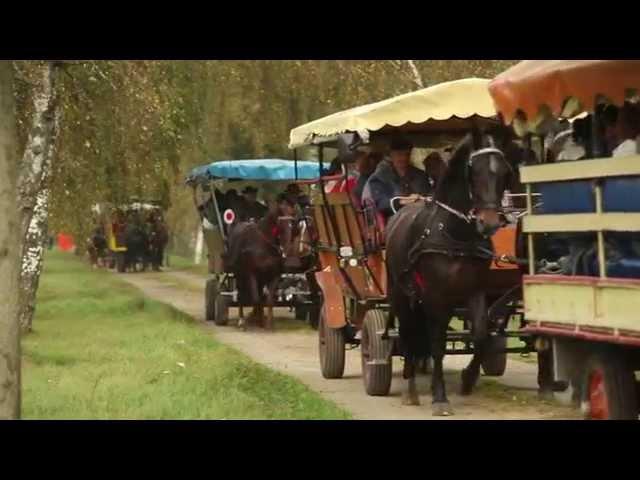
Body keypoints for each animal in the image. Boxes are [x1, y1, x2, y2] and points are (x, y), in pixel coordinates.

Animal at [224, 195, 296, 330]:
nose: (288, 243)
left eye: (293, 220)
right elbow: (256, 299)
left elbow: (268, 300)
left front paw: (268, 323)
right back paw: (242, 320)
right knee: (241, 295)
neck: (264, 245)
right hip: (239, 274)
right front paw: (258, 320)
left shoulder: (274, 275)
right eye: (280, 220)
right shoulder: (252, 274)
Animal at [384, 128, 516, 416]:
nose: (489, 223)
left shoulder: (475, 291)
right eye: (474, 171)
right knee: (408, 334)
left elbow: (481, 336)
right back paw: (411, 388)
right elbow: (438, 346)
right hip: (400, 295)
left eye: (505, 172)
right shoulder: (436, 298)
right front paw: (440, 397)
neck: (455, 234)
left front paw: (468, 379)